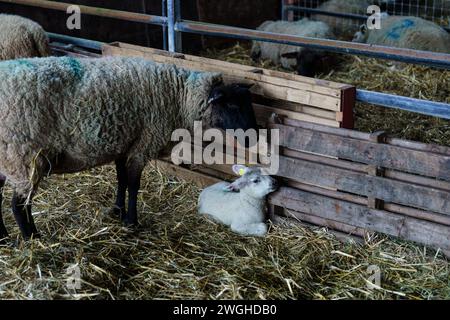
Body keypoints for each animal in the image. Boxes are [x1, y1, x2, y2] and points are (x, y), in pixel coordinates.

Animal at [0, 56, 256, 240]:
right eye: (232, 105)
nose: (253, 138)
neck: (179, 96)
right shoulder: (142, 144)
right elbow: (133, 185)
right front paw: (131, 221)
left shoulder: (124, 144)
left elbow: (121, 180)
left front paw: (118, 211)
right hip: (24, 158)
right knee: (18, 205)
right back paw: (33, 238)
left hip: (7, 159)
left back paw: (5, 237)